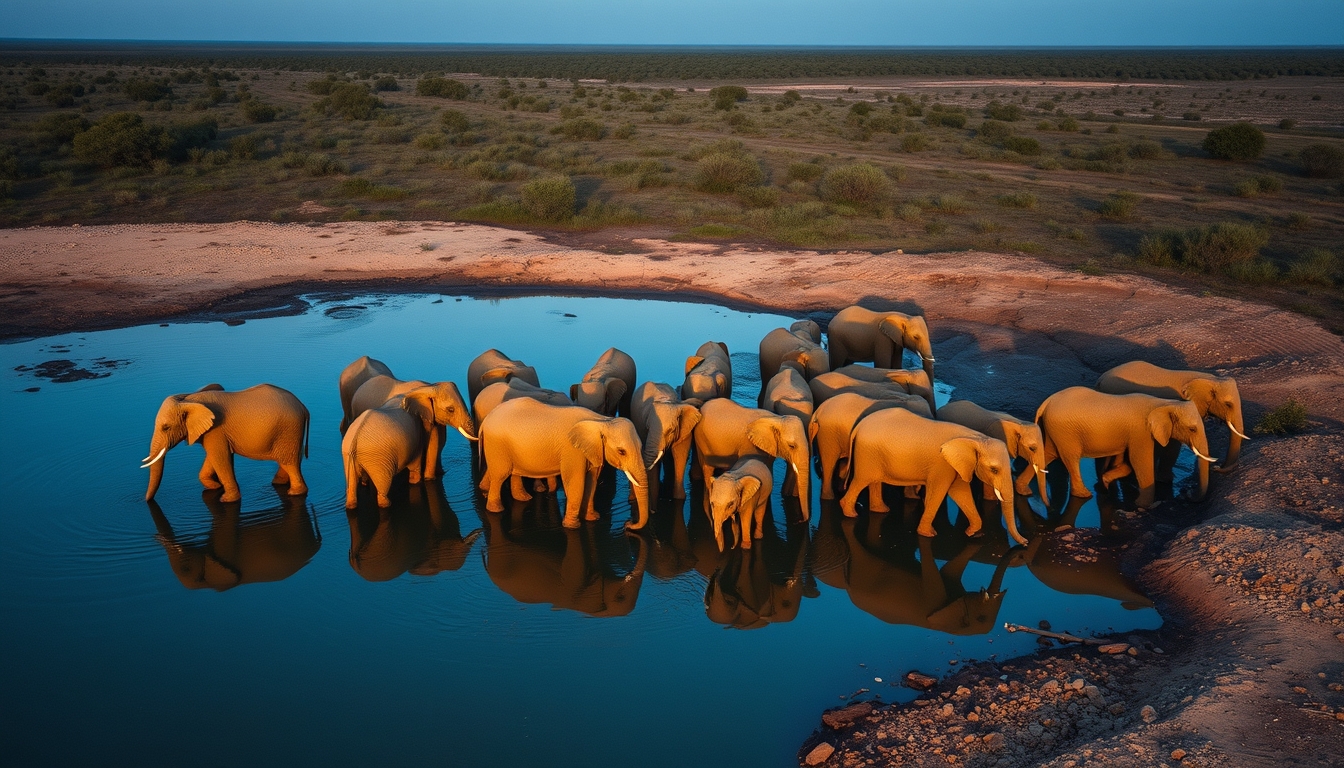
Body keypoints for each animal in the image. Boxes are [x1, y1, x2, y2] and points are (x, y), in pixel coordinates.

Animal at [142, 383, 309, 503]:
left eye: (166, 427)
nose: (146, 502)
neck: (190, 399)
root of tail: (304, 407)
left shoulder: (215, 430)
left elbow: (220, 458)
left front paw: (226, 500)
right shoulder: (213, 433)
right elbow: (213, 458)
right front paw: (215, 487)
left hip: (289, 430)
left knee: (290, 462)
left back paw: (294, 493)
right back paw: (278, 483)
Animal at [343, 385, 474, 508]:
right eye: (450, 410)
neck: (426, 389)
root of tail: (354, 441)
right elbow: (420, 456)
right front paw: (421, 480)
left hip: (349, 457)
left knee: (351, 487)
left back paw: (351, 504)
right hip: (378, 462)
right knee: (382, 491)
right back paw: (388, 504)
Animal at [477, 398, 650, 529]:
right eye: (622, 452)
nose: (628, 524)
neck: (602, 421)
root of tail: (486, 420)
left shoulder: (593, 450)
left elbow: (592, 482)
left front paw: (592, 518)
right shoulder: (572, 451)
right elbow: (576, 482)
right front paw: (572, 526)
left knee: (512, 472)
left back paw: (523, 498)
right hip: (497, 444)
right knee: (500, 475)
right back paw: (496, 510)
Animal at [840, 406, 1026, 545]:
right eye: (994, 470)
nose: (1025, 544)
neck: (976, 439)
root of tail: (859, 424)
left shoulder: (956, 465)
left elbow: (960, 493)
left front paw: (971, 533)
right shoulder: (942, 465)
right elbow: (939, 492)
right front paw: (928, 535)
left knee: (874, 480)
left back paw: (881, 510)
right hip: (867, 453)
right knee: (861, 480)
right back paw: (851, 514)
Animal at [1035, 387, 1215, 510]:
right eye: (1192, 429)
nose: (1187, 493)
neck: (1164, 403)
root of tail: (1046, 403)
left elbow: (1129, 462)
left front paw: (1106, 481)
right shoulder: (1141, 431)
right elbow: (1140, 461)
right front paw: (1143, 506)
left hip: (1055, 431)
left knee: (1048, 454)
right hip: (1065, 432)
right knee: (1070, 458)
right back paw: (1084, 495)